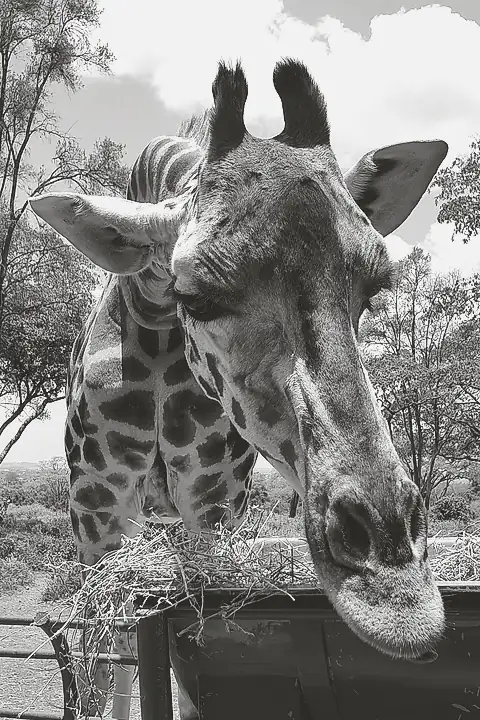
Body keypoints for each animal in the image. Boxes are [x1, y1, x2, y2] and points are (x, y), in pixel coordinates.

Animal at [30, 59, 448, 720]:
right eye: (196, 296)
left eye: (375, 288)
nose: (396, 596)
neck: (156, 329)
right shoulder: (96, 506)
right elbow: (101, 667)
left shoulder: (213, 503)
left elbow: (191, 654)